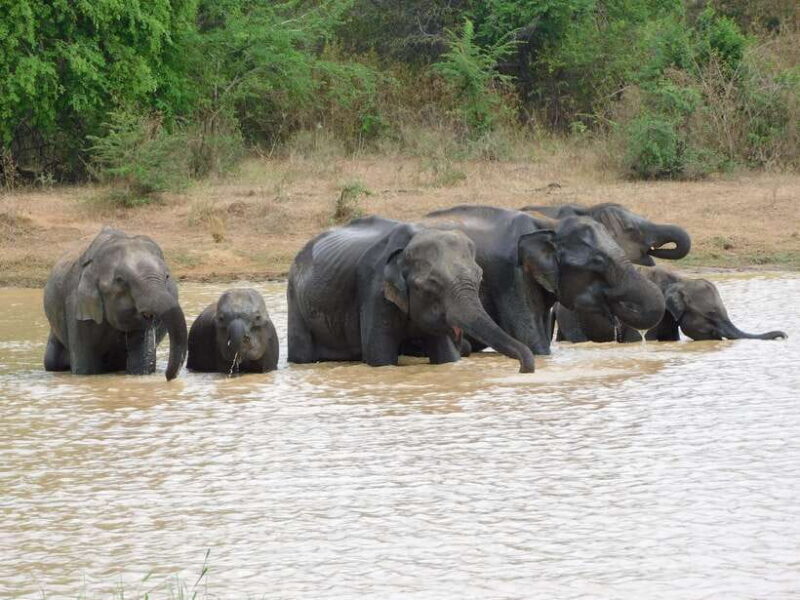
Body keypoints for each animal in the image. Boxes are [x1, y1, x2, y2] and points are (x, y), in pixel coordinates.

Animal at [43, 227, 188, 380]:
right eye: (120, 280)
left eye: (167, 276)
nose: (168, 377)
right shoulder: (75, 302)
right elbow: (86, 367)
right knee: (52, 362)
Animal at [287, 216, 536, 372]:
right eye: (432, 284)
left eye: (479, 277)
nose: (523, 369)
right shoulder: (373, 288)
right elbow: (380, 356)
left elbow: (446, 356)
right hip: (295, 299)